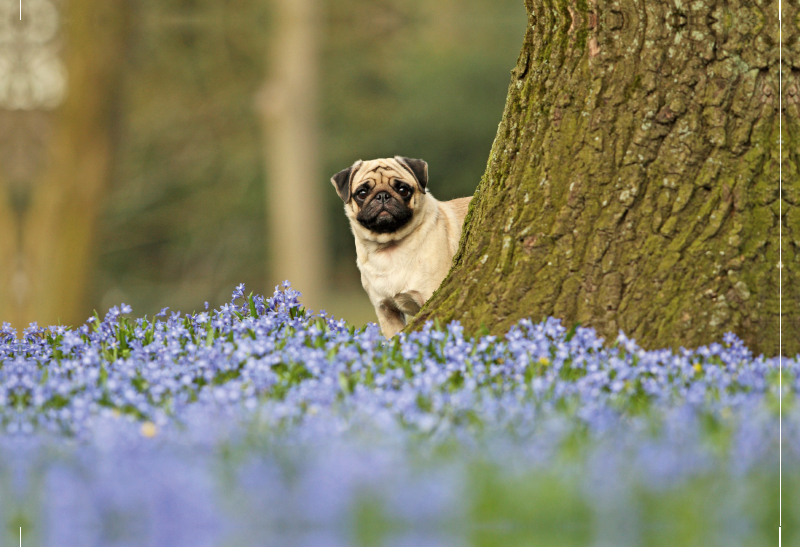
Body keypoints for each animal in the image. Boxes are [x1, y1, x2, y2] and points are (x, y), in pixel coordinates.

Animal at [330, 156, 468, 338]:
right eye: (362, 193)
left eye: (403, 190)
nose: (382, 195)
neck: (389, 247)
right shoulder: (386, 311)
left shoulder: (430, 294)